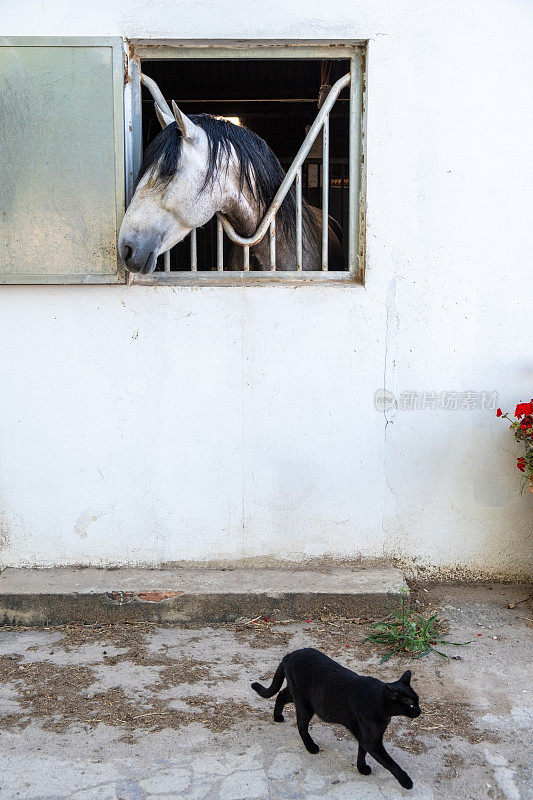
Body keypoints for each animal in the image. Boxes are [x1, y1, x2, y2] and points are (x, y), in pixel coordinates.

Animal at [250, 644, 420, 788]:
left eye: (418, 701)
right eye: (411, 705)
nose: (419, 711)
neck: (381, 705)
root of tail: (290, 654)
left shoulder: (365, 737)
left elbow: (362, 752)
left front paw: (361, 768)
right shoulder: (372, 741)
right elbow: (390, 763)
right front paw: (406, 781)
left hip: (298, 697)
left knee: (281, 695)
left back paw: (277, 717)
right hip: (305, 705)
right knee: (301, 725)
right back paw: (311, 747)